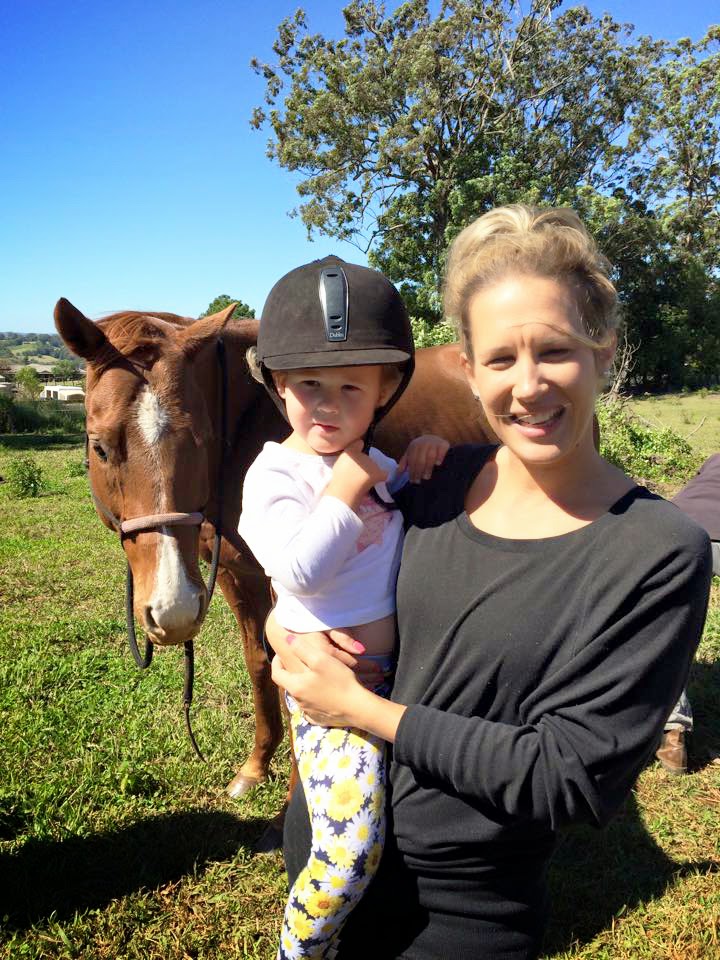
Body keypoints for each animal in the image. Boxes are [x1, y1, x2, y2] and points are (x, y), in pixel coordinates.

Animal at [54, 298, 493, 807]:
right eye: (100, 447)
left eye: (199, 440)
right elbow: (260, 664)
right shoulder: (232, 574)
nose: (172, 609)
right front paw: (255, 766)